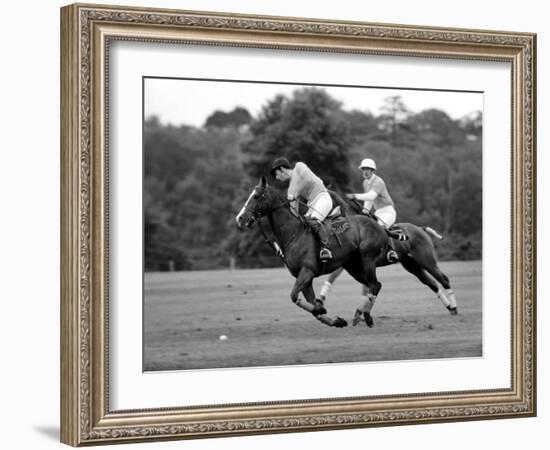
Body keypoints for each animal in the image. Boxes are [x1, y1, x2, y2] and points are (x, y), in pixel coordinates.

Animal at [236, 176, 388, 326]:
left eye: (256, 196)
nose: (240, 218)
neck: (294, 234)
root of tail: (379, 225)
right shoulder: (303, 278)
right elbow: (313, 306)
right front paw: (335, 320)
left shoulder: (307, 271)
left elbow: (294, 296)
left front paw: (323, 310)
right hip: (353, 266)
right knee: (374, 285)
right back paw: (361, 315)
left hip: (367, 258)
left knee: (374, 284)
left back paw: (366, 316)